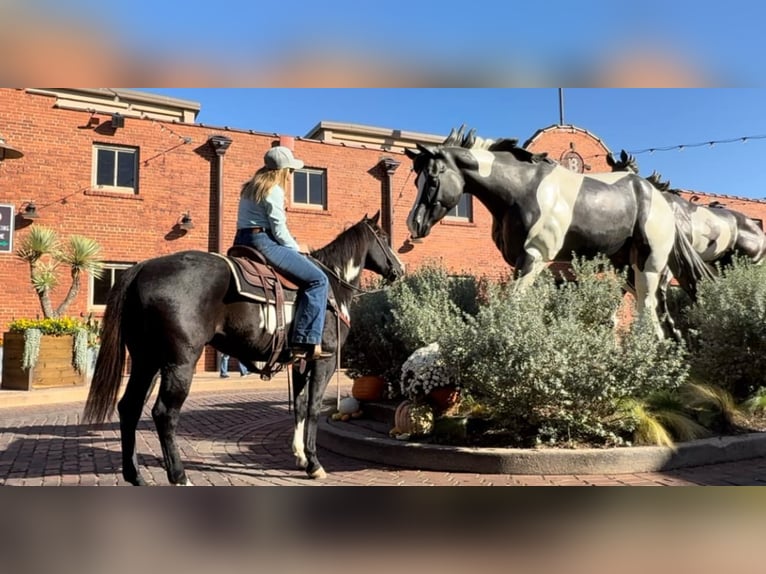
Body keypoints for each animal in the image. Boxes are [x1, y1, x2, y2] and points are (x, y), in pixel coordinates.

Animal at [83, 211, 404, 485]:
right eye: (383, 237)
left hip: (146, 360)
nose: (399, 269)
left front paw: (300, 456)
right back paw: (179, 476)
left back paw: (135, 475)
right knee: (164, 413)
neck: (333, 288)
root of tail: (143, 268)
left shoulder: (300, 361)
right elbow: (313, 408)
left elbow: (300, 406)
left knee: (129, 407)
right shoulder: (324, 359)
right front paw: (314, 464)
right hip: (179, 362)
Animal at [404, 127, 714, 339]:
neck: (522, 189)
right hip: (626, 265)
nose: (414, 223)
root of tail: (661, 199)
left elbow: (512, 303)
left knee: (647, 312)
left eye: (433, 179)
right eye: (417, 180)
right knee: (654, 315)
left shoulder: (534, 256)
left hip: (648, 265)